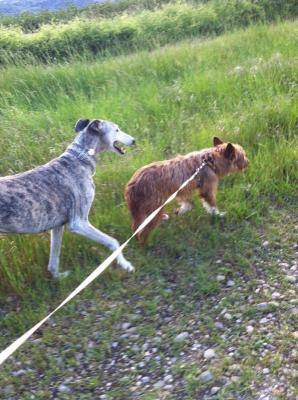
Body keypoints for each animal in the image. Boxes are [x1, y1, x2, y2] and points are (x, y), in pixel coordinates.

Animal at [0, 117, 135, 276]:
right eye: (116, 130)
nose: (134, 140)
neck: (79, 157)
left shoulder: (57, 226)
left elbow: (53, 261)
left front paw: (59, 277)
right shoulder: (79, 223)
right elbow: (113, 241)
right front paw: (125, 264)